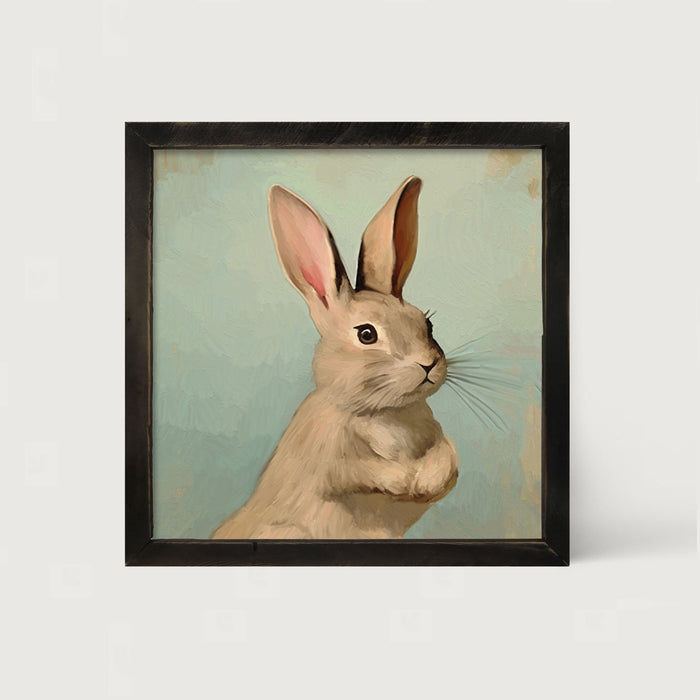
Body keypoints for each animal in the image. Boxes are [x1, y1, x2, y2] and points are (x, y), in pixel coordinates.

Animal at [211, 176, 458, 539]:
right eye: (366, 334)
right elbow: (357, 470)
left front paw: (427, 481)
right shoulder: (327, 456)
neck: (383, 412)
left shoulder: (437, 438)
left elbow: (447, 455)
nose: (428, 364)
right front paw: (406, 481)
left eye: (426, 323)